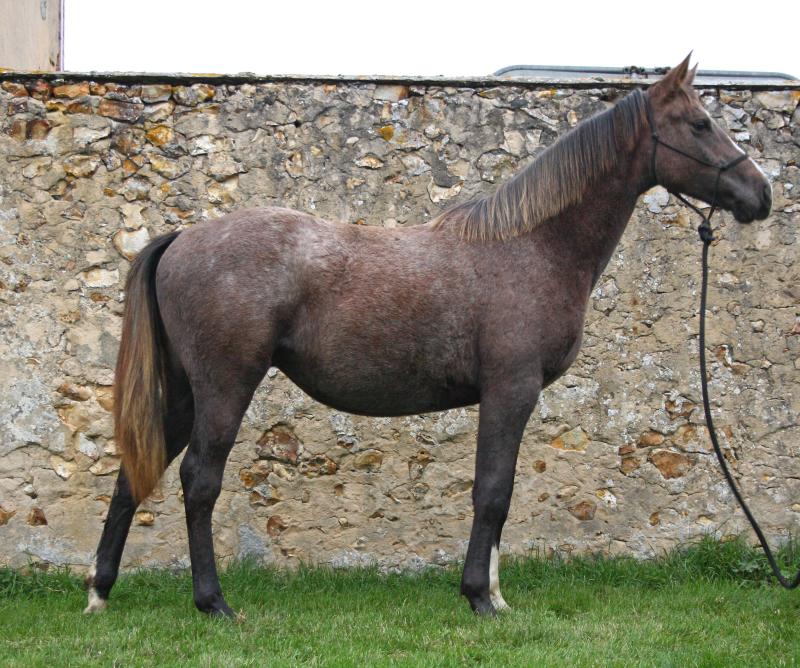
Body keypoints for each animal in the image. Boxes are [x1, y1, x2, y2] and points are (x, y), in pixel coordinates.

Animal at [84, 55, 772, 617]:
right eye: (700, 124)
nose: (760, 194)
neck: (531, 247)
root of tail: (182, 239)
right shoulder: (510, 391)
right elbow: (492, 494)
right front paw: (479, 598)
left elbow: (501, 494)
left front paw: (495, 592)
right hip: (225, 388)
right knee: (199, 479)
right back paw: (214, 604)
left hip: (185, 392)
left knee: (134, 472)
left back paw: (100, 592)